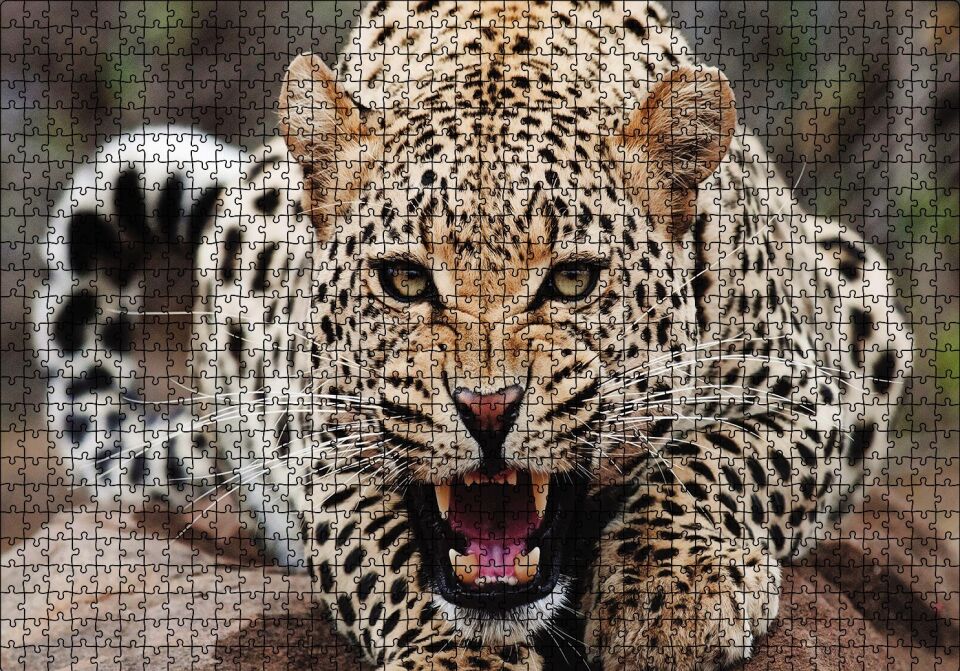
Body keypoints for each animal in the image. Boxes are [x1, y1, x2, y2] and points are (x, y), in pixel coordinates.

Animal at [35, 2, 911, 669]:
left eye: (572, 280)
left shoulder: (813, 388)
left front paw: (671, 597)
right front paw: (458, 656)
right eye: (404, 280)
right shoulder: (329, 443)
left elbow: (717, 459)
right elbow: (387, 555)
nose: (488, 409)